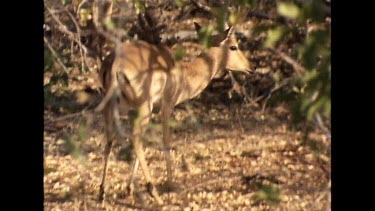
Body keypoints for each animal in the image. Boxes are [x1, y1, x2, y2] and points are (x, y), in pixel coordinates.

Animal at [98, 22, 254, 204]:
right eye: (233, 46)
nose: (250, 68)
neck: (185, 72)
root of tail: (115, 63)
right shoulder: (166, 106)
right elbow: (166, 140)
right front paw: (171, 184)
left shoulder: (148, 111)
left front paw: (129, 187)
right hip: (143, 107)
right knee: (135, 139)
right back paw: (154, 193)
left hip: (113, 106)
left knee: (110, 139)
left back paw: (102, 192)